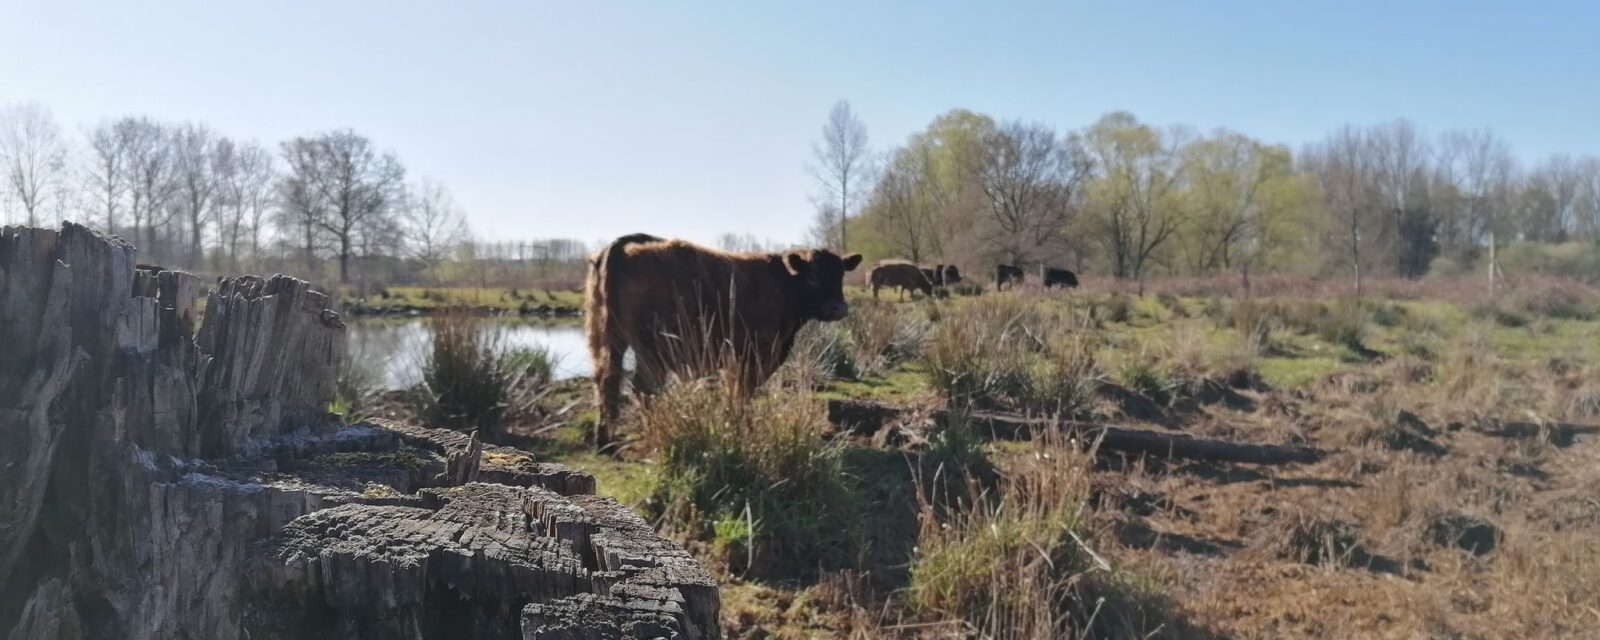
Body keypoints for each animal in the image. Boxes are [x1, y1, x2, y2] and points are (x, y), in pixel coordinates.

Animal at [585, 232, 864, 448]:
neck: (784, 285)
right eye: (813, 276)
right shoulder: (751, 356)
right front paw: (744, 428)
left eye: (841, 275)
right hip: (653, 350)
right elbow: (742, 393)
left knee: (607, 380)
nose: (838, 308)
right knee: (642, 388)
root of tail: (621, 247)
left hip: (608, 339)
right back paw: (650, 431)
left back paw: (604, 439)